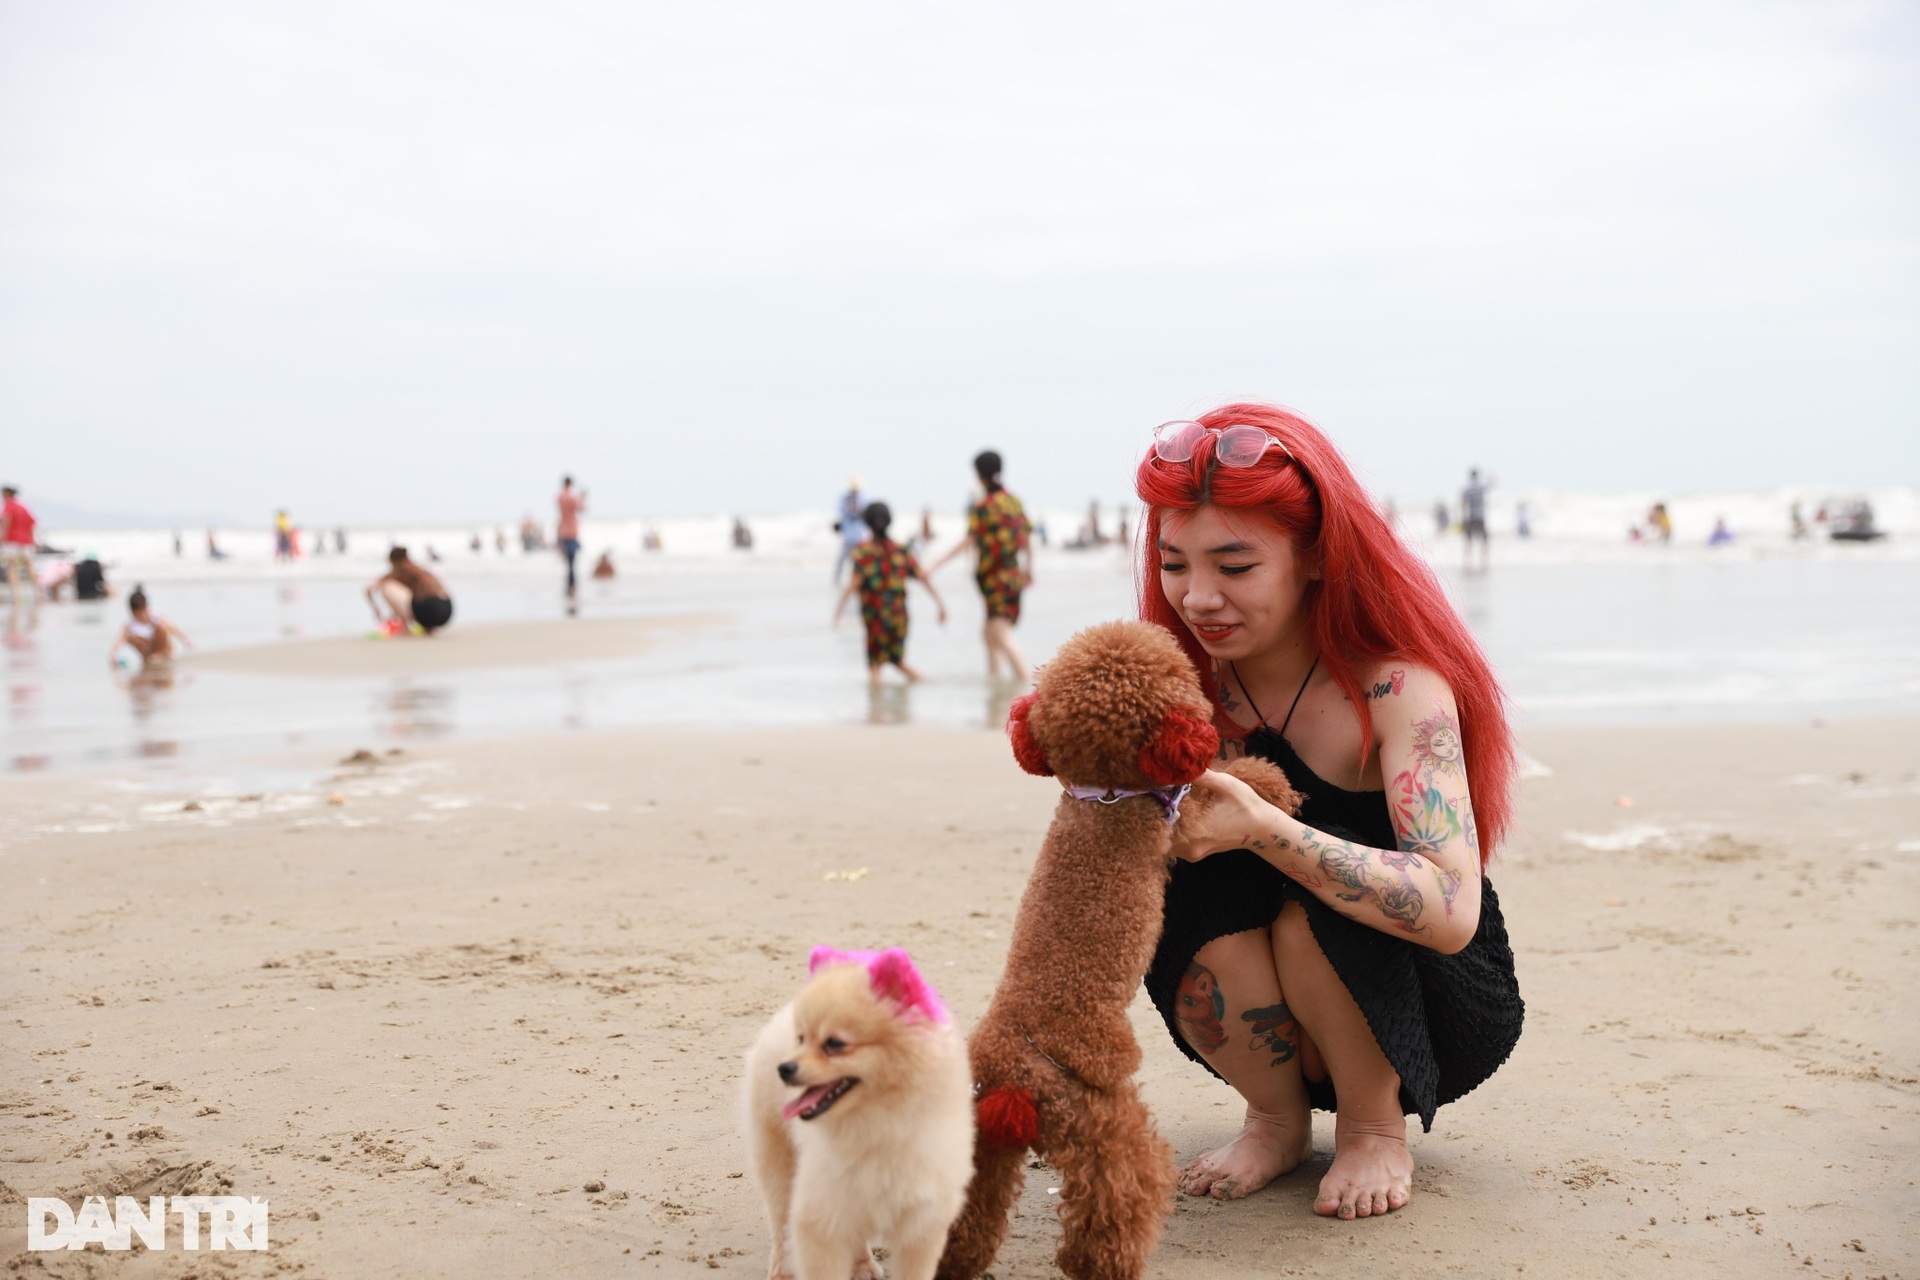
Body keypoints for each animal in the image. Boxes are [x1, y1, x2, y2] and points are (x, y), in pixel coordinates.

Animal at [737, 940, 967, 1280]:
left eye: (835, 1044)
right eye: (801, 1038)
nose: (784, 1068)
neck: (879, 1121)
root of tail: (780, 1017)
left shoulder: (921, 1222)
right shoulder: (821, 1217)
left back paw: (862, 1267)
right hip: (779, 1163)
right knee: (780, 1224)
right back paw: (781, 1272)